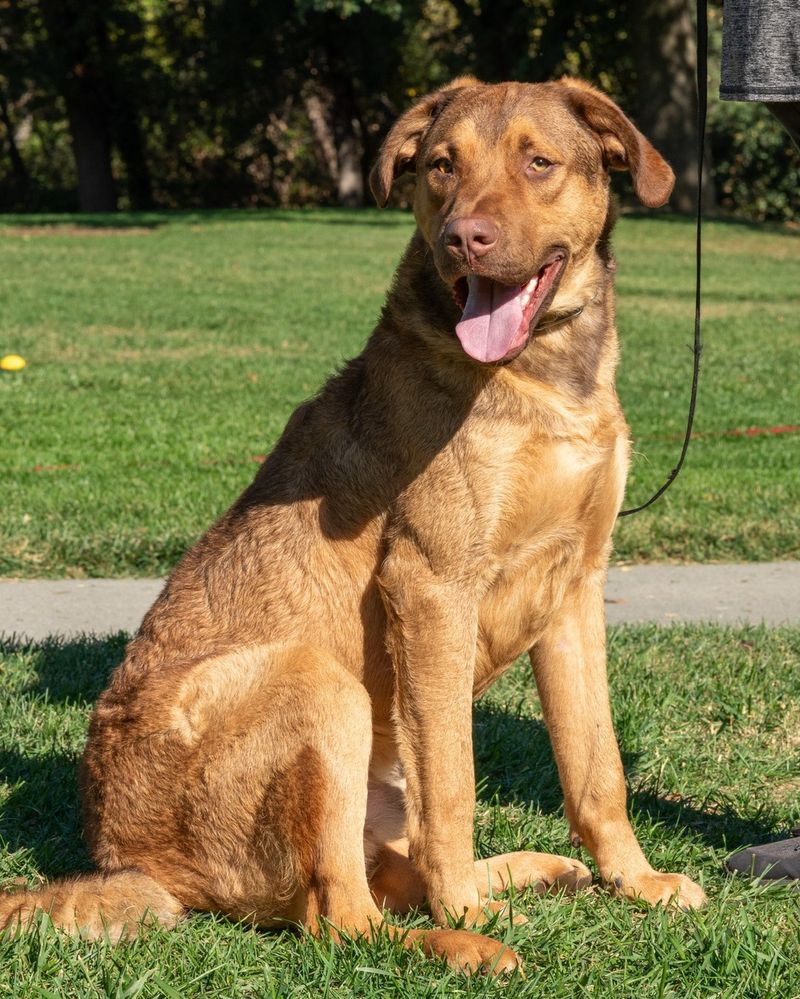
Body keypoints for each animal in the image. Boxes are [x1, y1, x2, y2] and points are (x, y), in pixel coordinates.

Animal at [0, 80, 704, 976]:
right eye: (442, 166)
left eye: (538, 162)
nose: (462, 238)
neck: (546, 382)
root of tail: (130, 863)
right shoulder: (433, 585)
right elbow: (456, 783)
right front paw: (467, 906)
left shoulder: (575, 585)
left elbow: (596, 765)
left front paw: (635, 880)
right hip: (320, 685)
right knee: (345, 915)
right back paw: (465, 936)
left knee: (386, 874)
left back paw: (537, 872)